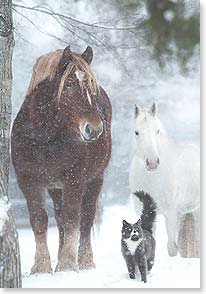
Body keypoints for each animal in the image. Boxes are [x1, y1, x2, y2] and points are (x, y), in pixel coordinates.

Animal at [10, 46, 111, 274]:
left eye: (90, 85)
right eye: (70, 83)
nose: (94, 128)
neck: (45, 138)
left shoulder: (75, 179)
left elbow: (73, 217)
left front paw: (67, 264)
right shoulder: (28, 181)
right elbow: (39, 219)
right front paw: (42, 266)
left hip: (95, 179)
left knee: (86, 217)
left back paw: (85, 260)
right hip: (56, 188)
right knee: (58, 216)